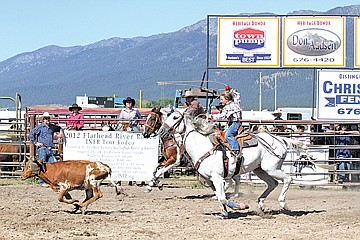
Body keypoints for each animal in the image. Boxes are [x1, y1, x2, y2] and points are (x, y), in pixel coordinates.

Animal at [158, 108, 306, 218]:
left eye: (175, 117)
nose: (161, 132)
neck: (203, 146)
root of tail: (279, 139)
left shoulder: (217, 178)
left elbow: (223, 198)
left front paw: (240, 206)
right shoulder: (210, 180)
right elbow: (220, 196)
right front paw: (225, 212)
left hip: (272, 168)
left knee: (288, 179)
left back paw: (283, 204)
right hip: (260, 170)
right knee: (272, 183)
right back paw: (261, 204)